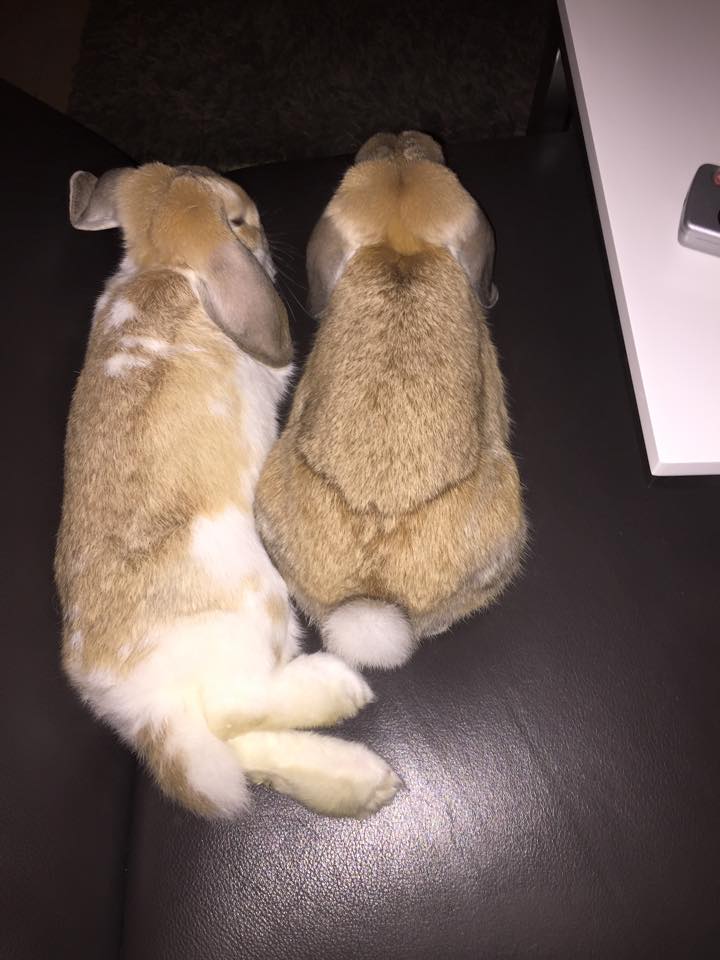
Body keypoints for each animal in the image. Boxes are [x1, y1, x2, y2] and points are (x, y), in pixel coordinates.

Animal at [55, 162, 400, 819]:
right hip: (256, 596)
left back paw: (363, 782)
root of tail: (141, 706)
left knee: (235, 748)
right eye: (238, 219)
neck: (163, 270)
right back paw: (338, 689)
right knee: (233, 710)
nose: (264, 235)